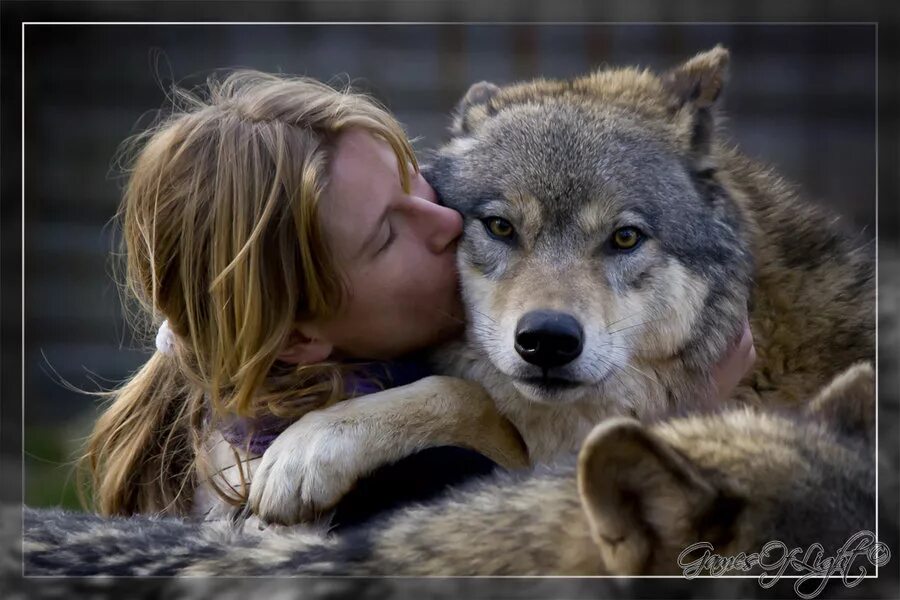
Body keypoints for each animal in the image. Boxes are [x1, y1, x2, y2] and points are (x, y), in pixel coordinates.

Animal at [241, 45, 872, 524]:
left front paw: (312, 442)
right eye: (500, 226)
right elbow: (467, 392)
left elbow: (463, 393)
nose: (547, 340)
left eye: (625, 237)